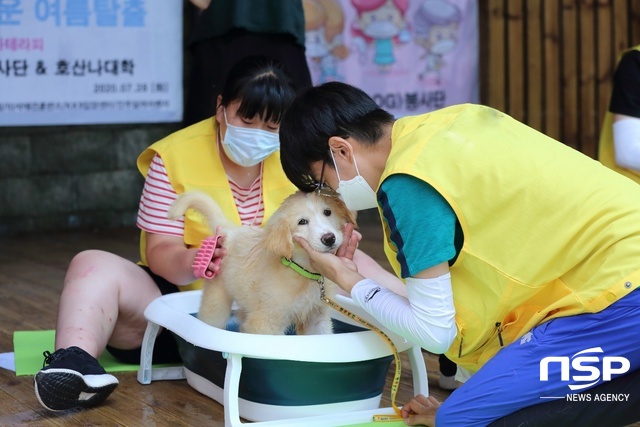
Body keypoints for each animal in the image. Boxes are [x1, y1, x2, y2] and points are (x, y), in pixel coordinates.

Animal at [166, 192, 356, 336]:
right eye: (302, 222)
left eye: (327, 212)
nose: (329, 238)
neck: (303, 272)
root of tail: (231, 231)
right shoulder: (266, 321)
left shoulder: (316, 318)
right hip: (216, 299)